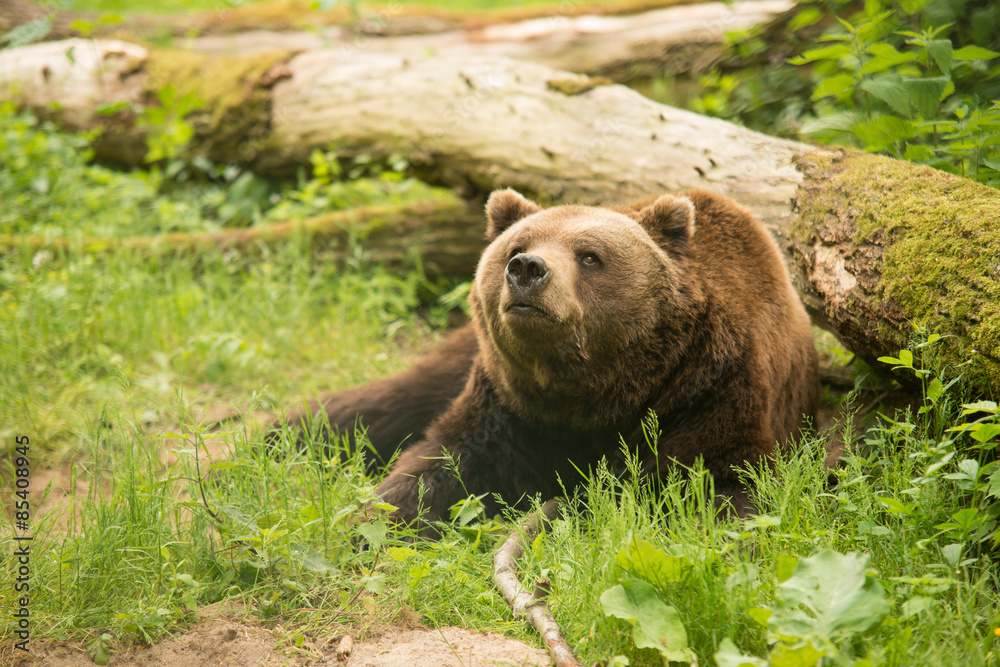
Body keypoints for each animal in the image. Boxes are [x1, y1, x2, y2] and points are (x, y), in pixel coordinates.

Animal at [267, 188, 818, 530]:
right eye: (518, 243)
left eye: (590, 256)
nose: (527, 269)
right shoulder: (509, 402)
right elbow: (437, 465)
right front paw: (368, 525)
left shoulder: (709, 389)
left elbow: (716, 484)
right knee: (374, 406)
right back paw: (260, 437)